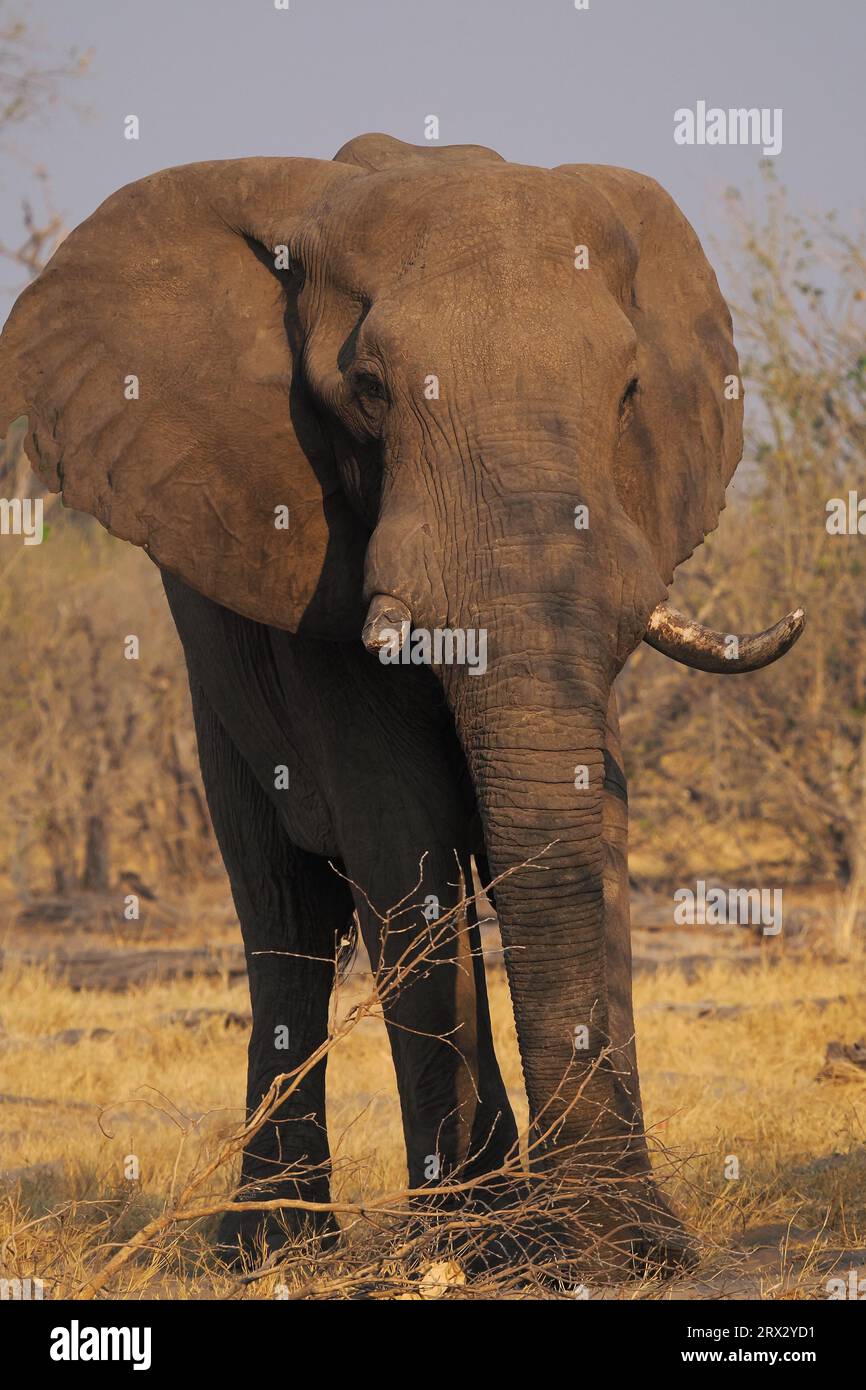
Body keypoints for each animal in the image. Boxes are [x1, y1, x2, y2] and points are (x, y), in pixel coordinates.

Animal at [0, 132, 806, 1278]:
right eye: (369, 390)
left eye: (627, 393)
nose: (602, 1244)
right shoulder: (311, 556)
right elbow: (401, 831)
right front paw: (484, 1245)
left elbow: (579, 806)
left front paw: (619, 1247)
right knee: (284, 913)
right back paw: (279, 1249)